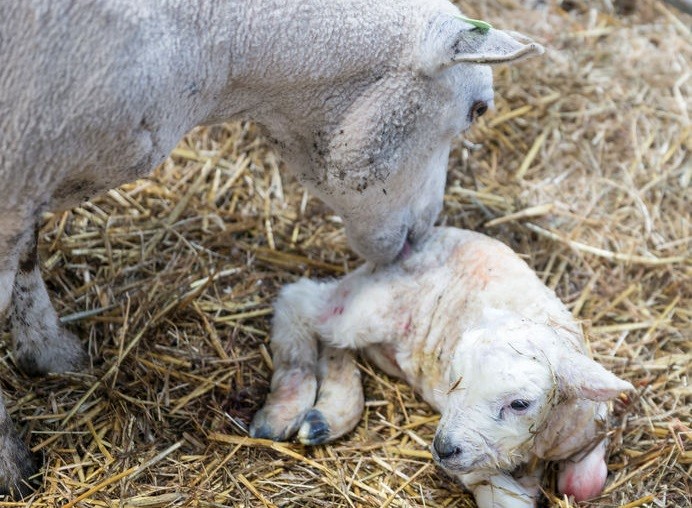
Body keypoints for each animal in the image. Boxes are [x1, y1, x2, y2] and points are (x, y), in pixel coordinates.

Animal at [251, 227, 634, 507]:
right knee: (298, 301)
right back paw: (285, 405)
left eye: (519, 404)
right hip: (367, 307)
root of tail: (416, 240)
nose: (443, 448)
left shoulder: (587, 428)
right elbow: (510, 498)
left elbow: (584, 485)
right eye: (452, 380)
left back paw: (329, 414)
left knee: (333, 344)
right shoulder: (478, 472)